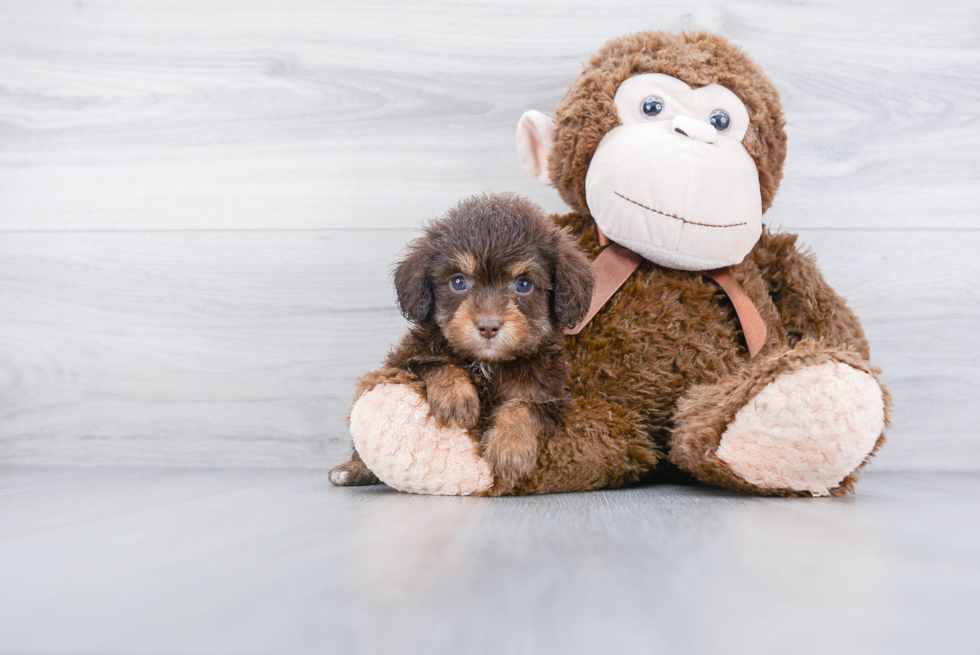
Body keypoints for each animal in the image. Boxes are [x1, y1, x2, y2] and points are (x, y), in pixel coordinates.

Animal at [334, 192, 592, 490]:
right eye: (458, 282)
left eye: (524, 285)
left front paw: (510, 448)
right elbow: (436, 363)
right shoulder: (403, 360)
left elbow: (525, 407)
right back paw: (352, 469)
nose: (488, 326)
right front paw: (456, 399)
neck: (487, 363)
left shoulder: (549, 395)